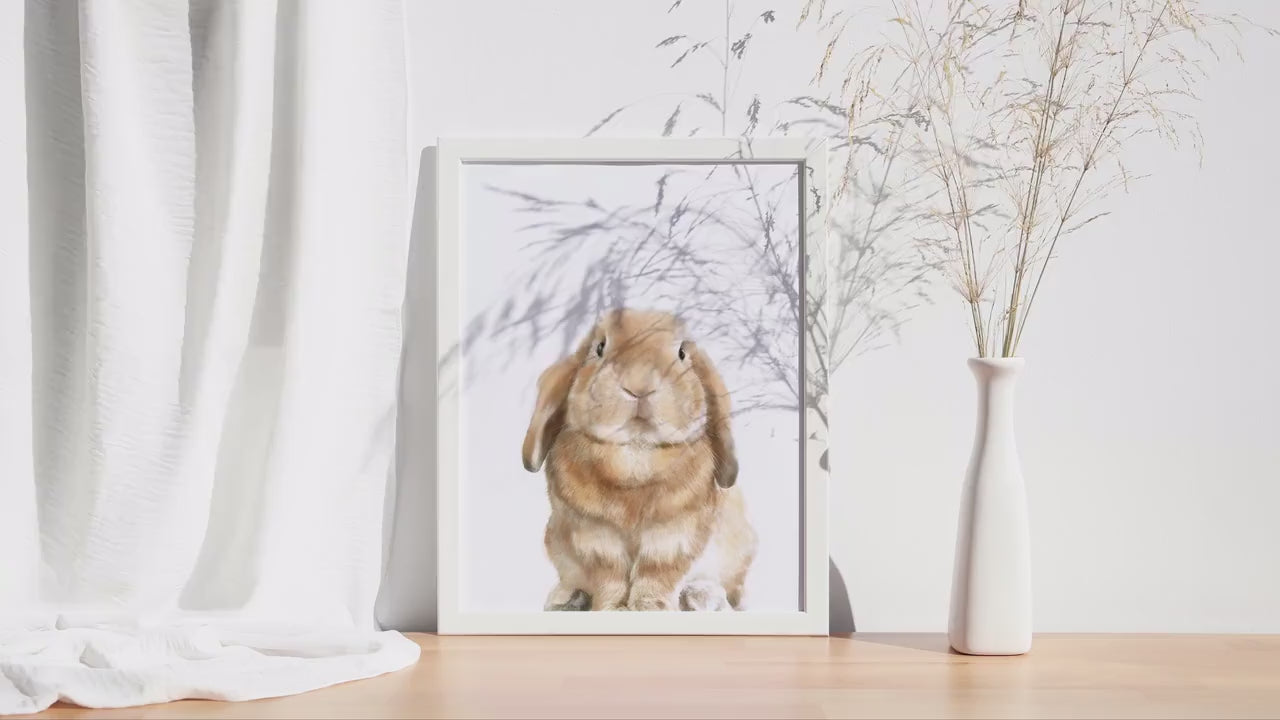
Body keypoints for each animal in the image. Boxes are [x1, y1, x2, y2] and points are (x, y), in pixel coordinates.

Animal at [521, 308, 757, 612]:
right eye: (599, 348)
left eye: (682, 353)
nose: (639, 386)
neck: (636, 451)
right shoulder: (594, 536)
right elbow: (610, 576)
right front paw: (611, 608)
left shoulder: (674, 535)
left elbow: (656, 575)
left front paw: (649, 608)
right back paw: (565, 598)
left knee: (730, 590)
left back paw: (701, 596)